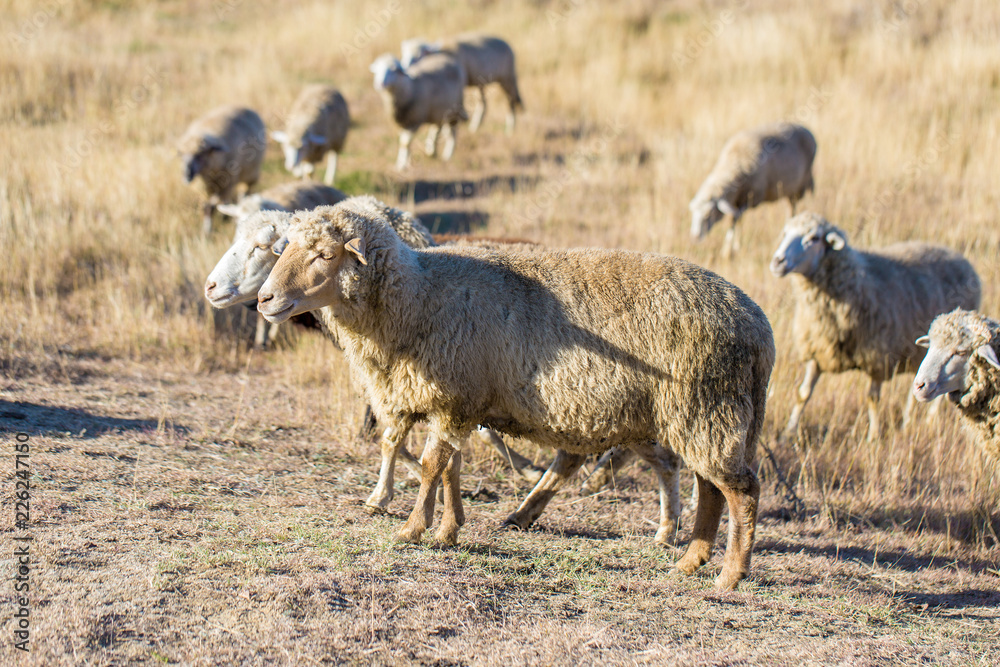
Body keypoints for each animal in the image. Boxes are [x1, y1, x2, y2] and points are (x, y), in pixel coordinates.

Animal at [177, 105, 266, 235]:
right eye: (181, 155)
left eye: (200, 154)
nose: (186, 175)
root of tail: (244, 106)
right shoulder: (205, 189)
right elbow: (206, 207)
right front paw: (207, 228)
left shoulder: (227, 183)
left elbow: (209, 207)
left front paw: (207, 231)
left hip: (250, 172)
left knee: (245, 191)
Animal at [257, 198, 775, 590]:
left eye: (325, 255)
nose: (264, 299)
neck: (419, 297)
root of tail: (758, 325)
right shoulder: (460, 399)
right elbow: (451, 468)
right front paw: (448, 530)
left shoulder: (453, 395)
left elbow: (430, 466)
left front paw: (412, 529)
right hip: (699, 415)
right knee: (710, 489)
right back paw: (689, 561)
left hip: (707, 406)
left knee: (742, 491)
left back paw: (729, 574)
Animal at [691, 122, 817, 258]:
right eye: (693, 213)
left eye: (710, 214)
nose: (695, 237)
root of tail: (805, 128)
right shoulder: (738, 200)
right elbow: (736, 220)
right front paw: (733, 246)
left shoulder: (751, 198)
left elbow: (735, 220)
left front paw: (730, 248)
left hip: (800, 185)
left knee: (791, 210)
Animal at [770, 212, 981, 442]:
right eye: (785, 233)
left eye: (814, 238)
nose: (777, 261)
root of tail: (961, 259)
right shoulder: (818, 351)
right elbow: (803, 394)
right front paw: (787, 434)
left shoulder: (878, 357)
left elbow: (872, 398)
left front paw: (873, 436)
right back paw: (908, 422)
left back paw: (929, 421)